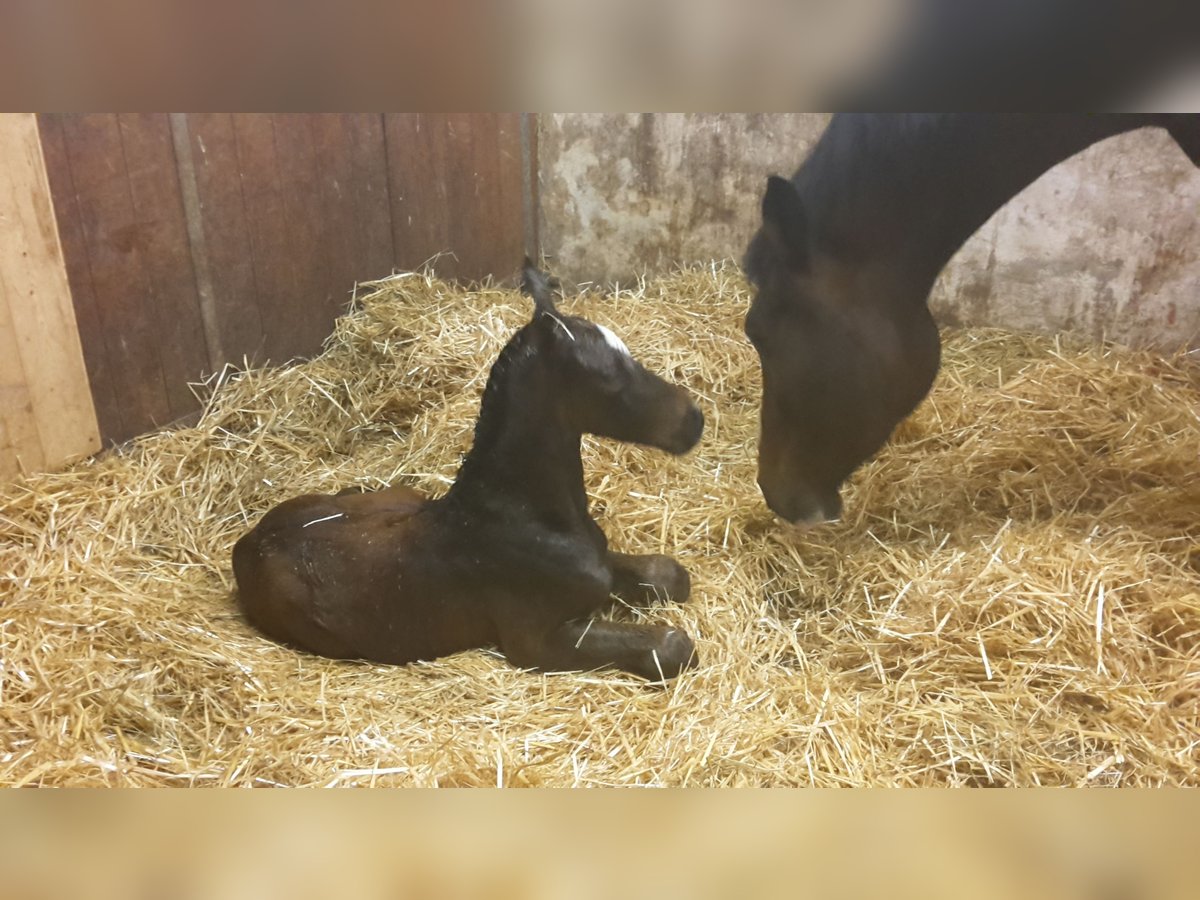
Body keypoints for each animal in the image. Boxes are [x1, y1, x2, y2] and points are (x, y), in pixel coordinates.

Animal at [234, 260, 700, 681]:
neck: (526, 517)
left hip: (400, 497)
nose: (694, 421)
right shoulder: (535, 642)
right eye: (608, 378)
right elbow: (672, 646)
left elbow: (669, 575)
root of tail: (247, 542)